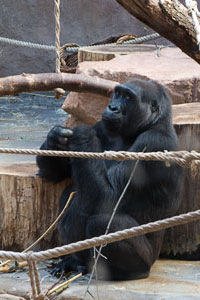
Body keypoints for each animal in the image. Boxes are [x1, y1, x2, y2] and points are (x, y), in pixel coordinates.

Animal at [36, 78, 183, 280]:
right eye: (118, 93)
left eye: (128, 98)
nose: (112, 107)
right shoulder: (102, 125)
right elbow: (53, 174)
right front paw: (56, 137)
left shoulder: (153, 144)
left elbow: (109, 199)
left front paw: (84, 135)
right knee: (72, 193)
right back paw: (74, 260)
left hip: (149, 259)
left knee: (102, 222)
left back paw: (130, 271)